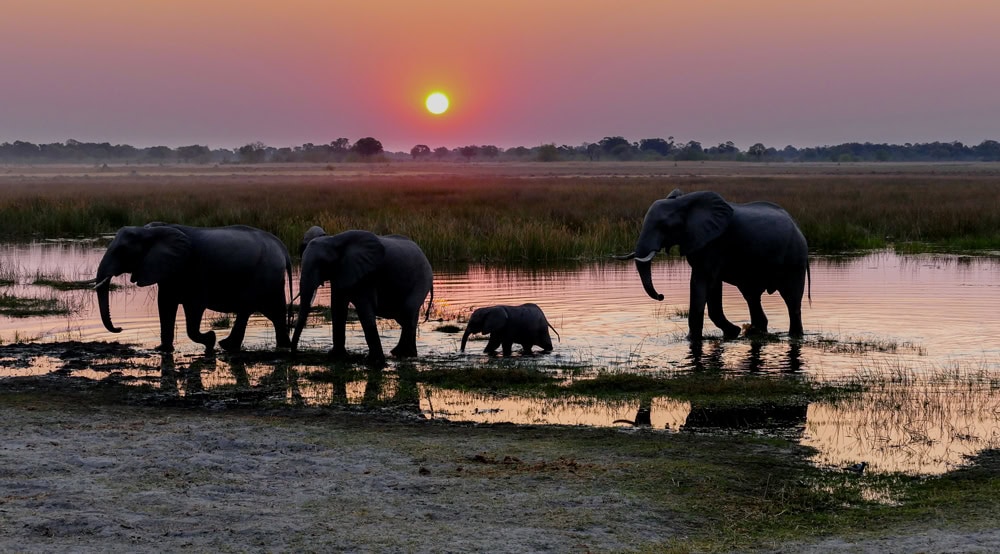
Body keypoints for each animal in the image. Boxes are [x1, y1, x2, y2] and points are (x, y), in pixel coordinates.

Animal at [95, 223, 293, 353]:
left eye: (121, 250)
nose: (120, 329)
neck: (150, 231)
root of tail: (283, 248)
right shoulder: (169, 268)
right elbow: (165, 304)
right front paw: (162, 350)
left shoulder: (192, 270)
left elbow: (193, 307)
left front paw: (210, 340)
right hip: (271, 277)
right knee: (274, 312)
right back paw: (282, 346)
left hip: (264, 273)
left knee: (249, 308)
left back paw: (226, 345)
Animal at [291, 228, 434, 365]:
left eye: (323, 263)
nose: (295, 355)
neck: (334, 240)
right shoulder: (341, 271)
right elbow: (338, 307)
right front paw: (336, 356)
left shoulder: (366, 274)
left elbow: (364, 308)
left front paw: (374, 362)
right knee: (407, 317)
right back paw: (405, 354)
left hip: (422, 279)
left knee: (407, 313)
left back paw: (402, 354)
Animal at [620, 189, 810, 341]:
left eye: (664, 226)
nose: (661, 296)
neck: (685, 202)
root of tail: (798, 227)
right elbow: (713, 286)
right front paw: (733, 332)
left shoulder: (714, 243)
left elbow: (701, 282)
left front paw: (692, 339)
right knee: (752, 296)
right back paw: (756, 332)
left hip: (795, 260)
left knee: (791, 299)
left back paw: (794, 336)